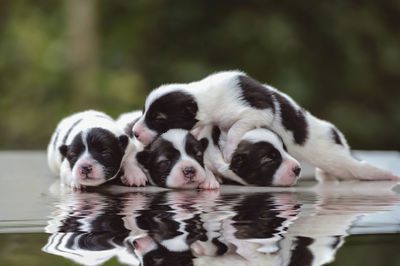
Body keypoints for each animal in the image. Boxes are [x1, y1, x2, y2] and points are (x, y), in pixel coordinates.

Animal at [132, 70, 400, 183]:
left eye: (158, 118)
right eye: (144, 112)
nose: (134, 132)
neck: (204, 95)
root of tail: (335, 132)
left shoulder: (254, 110)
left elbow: (237, 128)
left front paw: (229, 149)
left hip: (338, 158)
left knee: (360, 169)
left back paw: (386, 175)